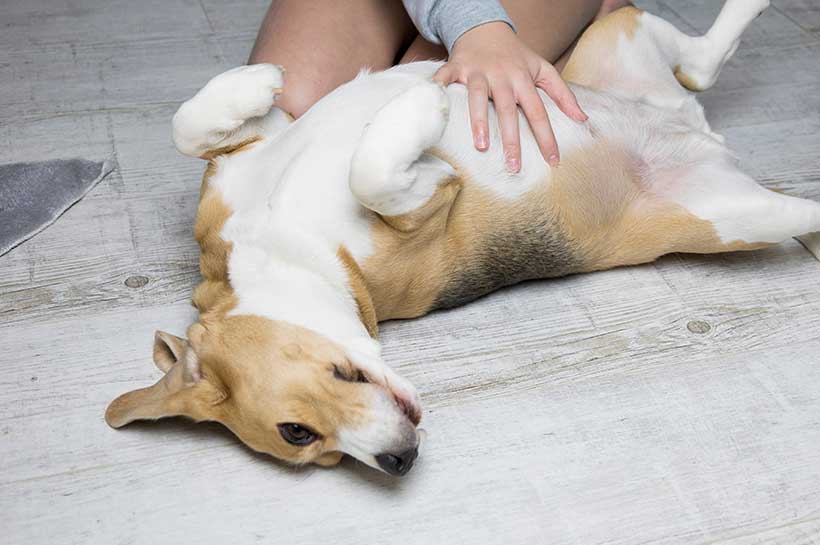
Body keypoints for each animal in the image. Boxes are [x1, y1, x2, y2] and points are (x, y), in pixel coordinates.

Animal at [104, 0, 820, 474]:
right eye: (305, 440)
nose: (397, 462)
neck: (280, 246)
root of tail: (697, 130)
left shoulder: (258, 151)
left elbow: (190, 126)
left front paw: (256, 83)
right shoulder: (423, 207)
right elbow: (374, 171)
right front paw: (421, 108)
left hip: (614, 33)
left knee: (696, 64)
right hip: (741, 215)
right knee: (709, 80)